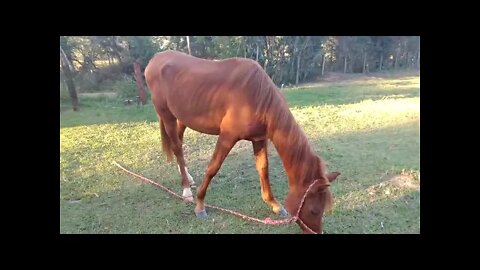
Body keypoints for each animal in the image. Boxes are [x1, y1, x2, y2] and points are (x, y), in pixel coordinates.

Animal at [144, 49, 340, 233]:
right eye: (314, 210)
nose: (317, 232)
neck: (258, 95)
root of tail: (155, 60)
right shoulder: (227, 136)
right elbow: (213, 168)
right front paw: (200, 206)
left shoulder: (259, 139)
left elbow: (263, 169)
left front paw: (274, 204)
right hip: (166, 115)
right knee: (177, 147)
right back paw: (186, 190)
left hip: (183, 118)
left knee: (179, 143)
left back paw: (188, 179)